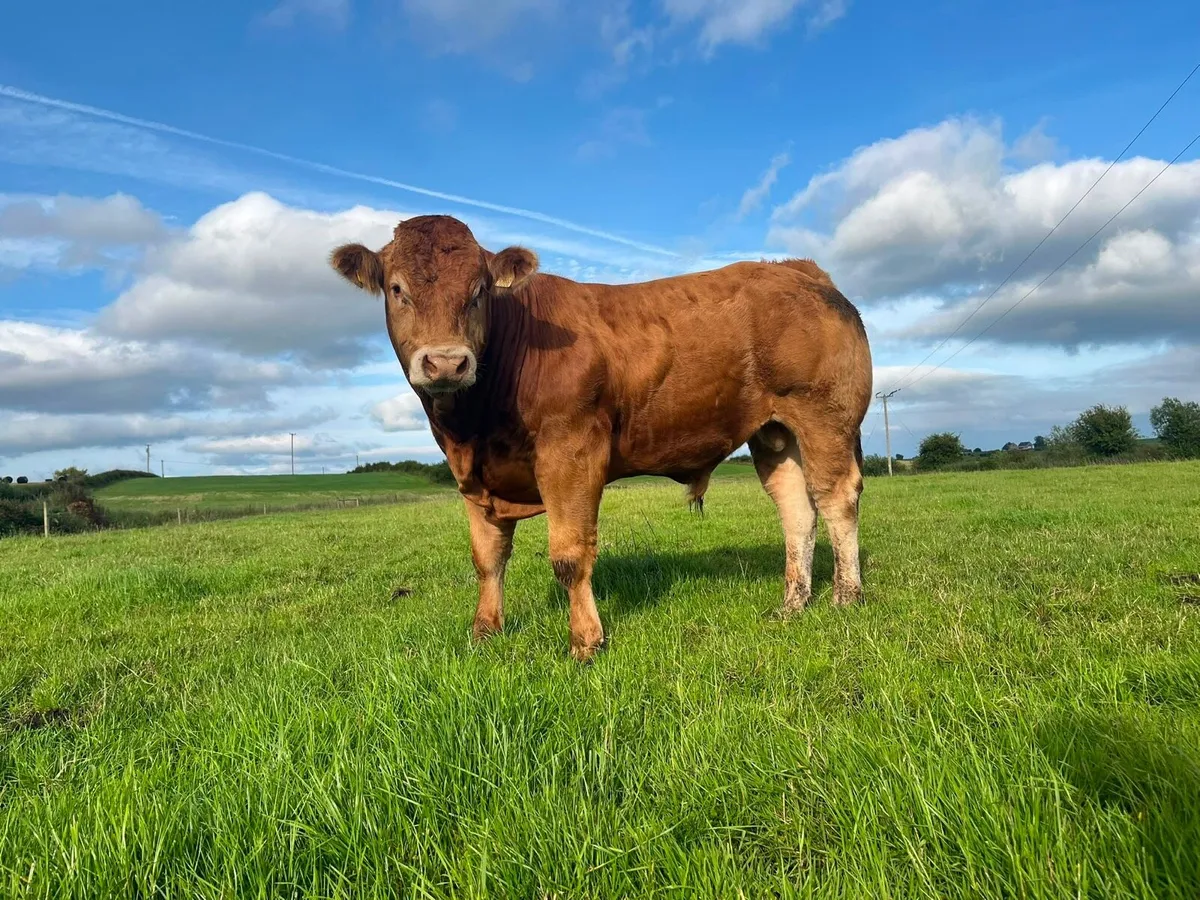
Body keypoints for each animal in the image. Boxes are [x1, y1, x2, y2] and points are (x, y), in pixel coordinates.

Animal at [330, 215, 873, 661]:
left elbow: (570, 555)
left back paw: (845, 598)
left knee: (836, 498)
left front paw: (585, 641)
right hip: (774, 433)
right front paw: (485, 632)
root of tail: (799, 270)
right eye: (396, 288)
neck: (473, 426)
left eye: (479, 289)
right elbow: (487, 559)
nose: (446, 363)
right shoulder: (472, 475)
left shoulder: (571, 451)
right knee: (796, 508)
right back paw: (792, 605)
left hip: (824, 416)